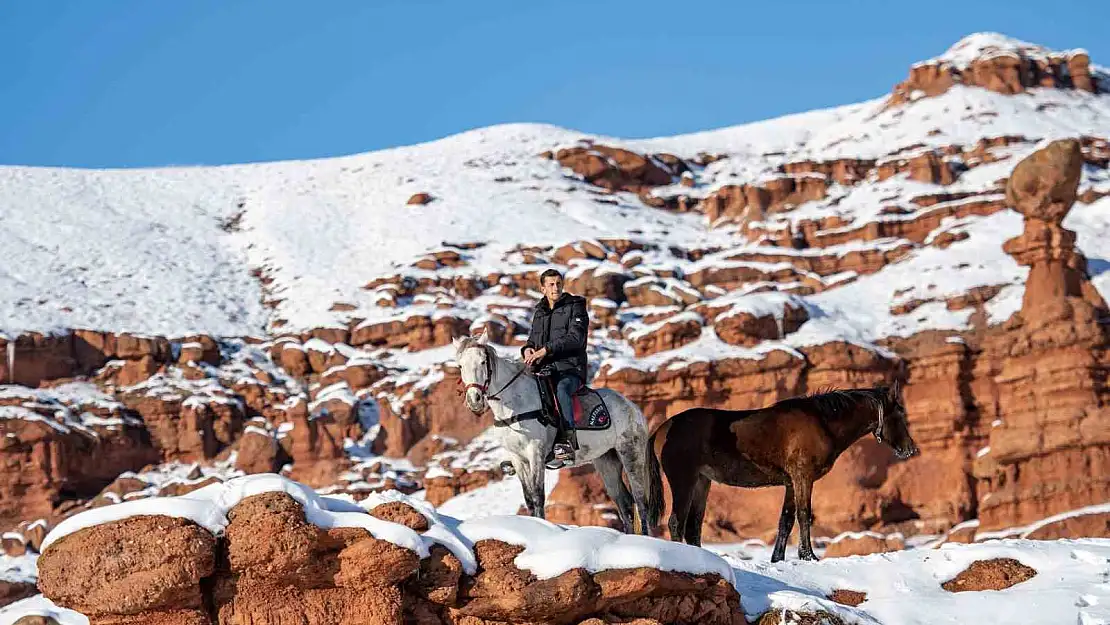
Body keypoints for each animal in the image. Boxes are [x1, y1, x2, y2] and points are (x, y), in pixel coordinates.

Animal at [643, 384, 919, 563]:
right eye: (899, 413)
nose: (910, 449)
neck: (822, 422)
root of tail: (662, 429)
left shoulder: (791, 483)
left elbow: (785, 520)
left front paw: (778, 558)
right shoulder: (803, 477)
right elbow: (804, 515)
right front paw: (809, 555)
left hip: (702, 482)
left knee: (693, 526)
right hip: (684, 480)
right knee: (676, 521)